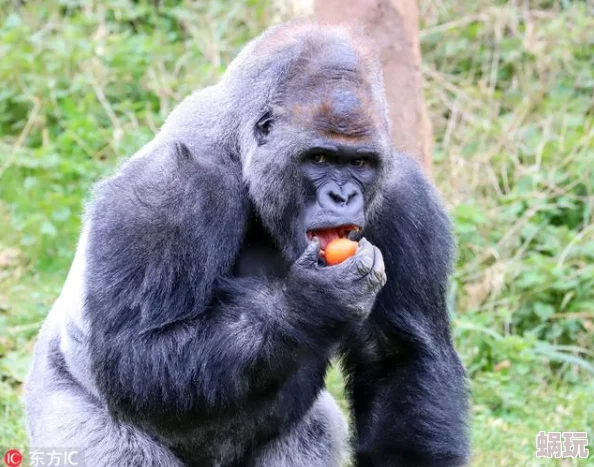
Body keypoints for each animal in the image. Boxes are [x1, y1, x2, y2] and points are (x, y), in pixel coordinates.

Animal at [24, 20, 468, 466]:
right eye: (319, 158)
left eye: (359, 162)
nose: (342, 197)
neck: (241, 149)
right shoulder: (170, 187)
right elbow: (135, 356)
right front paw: (309, 302)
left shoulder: (405, 197)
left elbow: (399, 358)